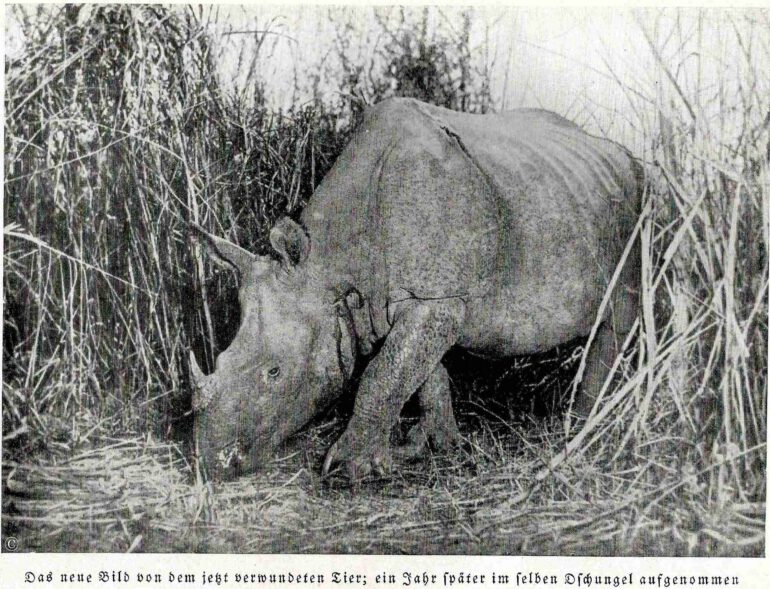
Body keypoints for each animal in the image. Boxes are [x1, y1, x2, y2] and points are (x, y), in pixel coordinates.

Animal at [190, 97, 642, 481]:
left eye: (274, 372)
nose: (211, 464)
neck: (331, 263)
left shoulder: (439, 300)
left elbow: (381, 375)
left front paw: (347, 470)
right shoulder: (422, 301)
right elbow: (419, 372)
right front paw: (434, 447)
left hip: (639, 206)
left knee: (620, 314)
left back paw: (582, 429)